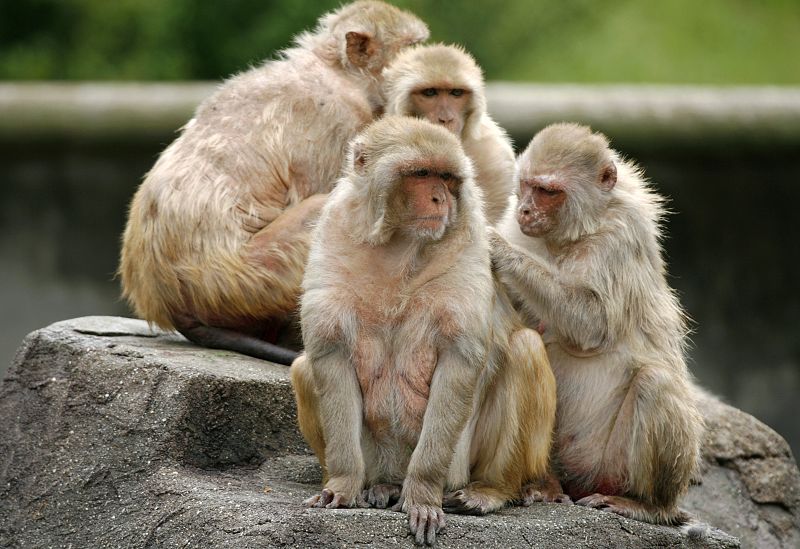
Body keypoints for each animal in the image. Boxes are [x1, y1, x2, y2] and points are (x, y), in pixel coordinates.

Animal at [289, 116, 558, 545]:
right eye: (420, 174)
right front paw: (344, 485)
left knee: (525, 348)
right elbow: (330, 351)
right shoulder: (333, 234)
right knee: (303, 367)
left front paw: (422, 494)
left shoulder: (469, 242)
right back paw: (379, 486)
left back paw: (489, 490)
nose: (439, 199)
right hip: (379, 457)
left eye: (446, 177)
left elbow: (459, 361)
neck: (398, 245)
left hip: (460, 465)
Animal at [489, 122, 704, 526]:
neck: (574, 235)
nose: (525, 210)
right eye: (526, 185)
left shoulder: (620, 237)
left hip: (614, 464)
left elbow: (593, 325)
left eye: (548, 192)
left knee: (654, 382)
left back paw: (649, 505)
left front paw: (500, 252)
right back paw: (545, 484)